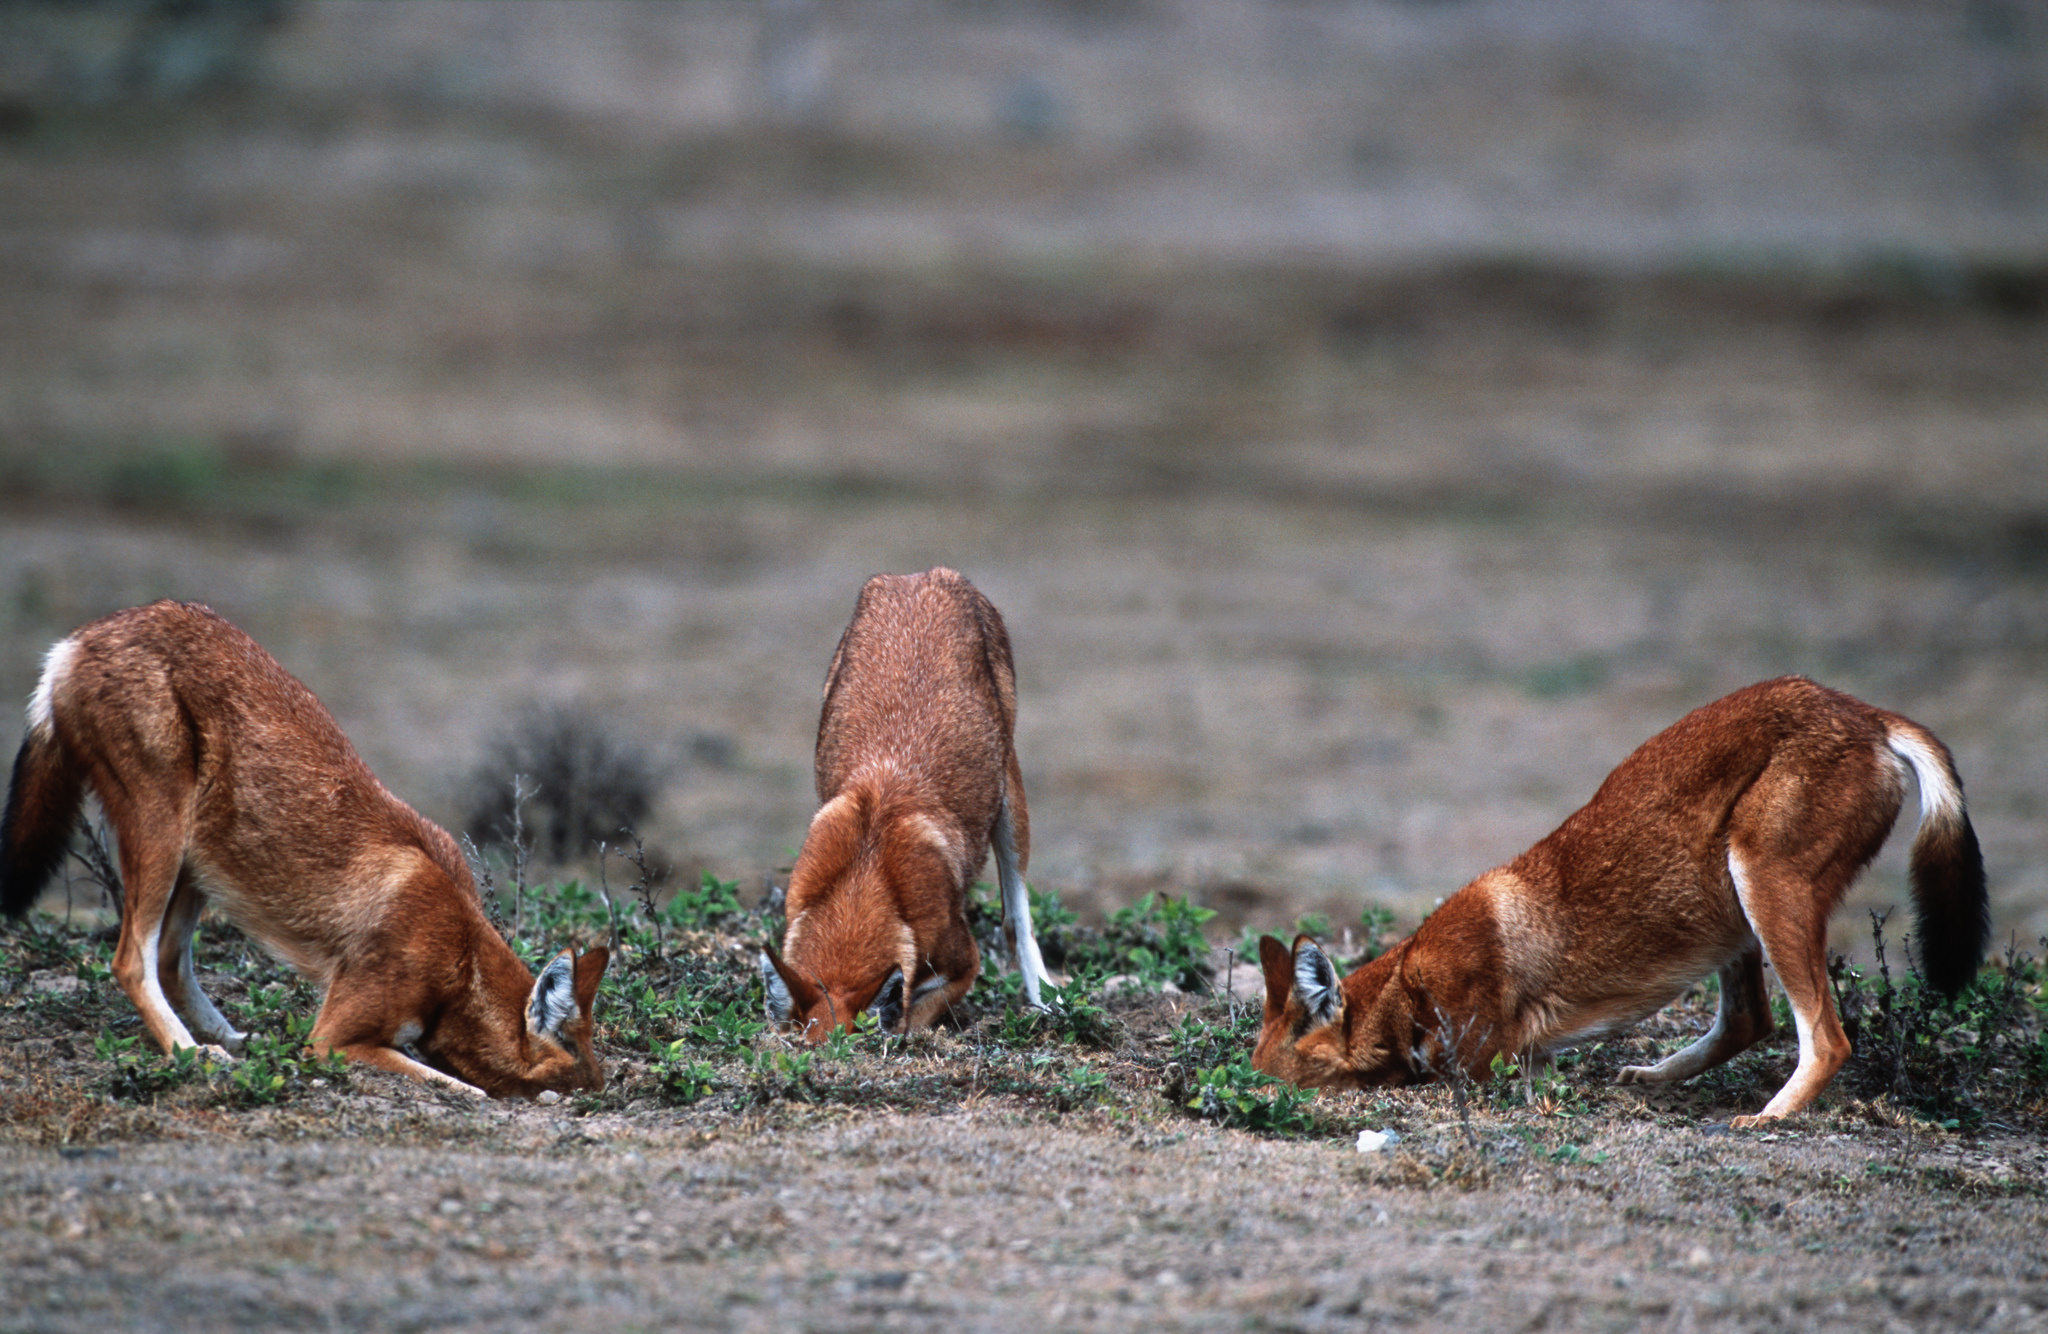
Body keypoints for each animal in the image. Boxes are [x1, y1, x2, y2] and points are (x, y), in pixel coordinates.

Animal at [0, 602, 606, 1098]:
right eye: (570, 1083)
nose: (598, 1097)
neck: (459, 958)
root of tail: (76, 640)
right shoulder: (333, 1038)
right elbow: (461, 1085)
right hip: (163, 838)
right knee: (131, 961)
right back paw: (195, 1054)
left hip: (201, 860)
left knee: (170, 961)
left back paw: (233, 1042)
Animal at [765, 569, 1056, 1036]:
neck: (866, 869)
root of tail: (926, 575)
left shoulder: (965, 962)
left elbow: (909, 1020)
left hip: (1010, 804)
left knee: (1017, 921)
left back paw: (1051, 1002)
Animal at [1253, 680, 1990, 1131]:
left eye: (1268, 1078)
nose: (1244, 1086)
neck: (1407, 987)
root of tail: (1865, 711)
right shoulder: (1528, 1062)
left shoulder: (1482, 1061)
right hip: (1725, 909)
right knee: (1749, 1020)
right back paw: (1651, 1077)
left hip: (1763, 883)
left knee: (1826, 1039)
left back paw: (1766, 1117)